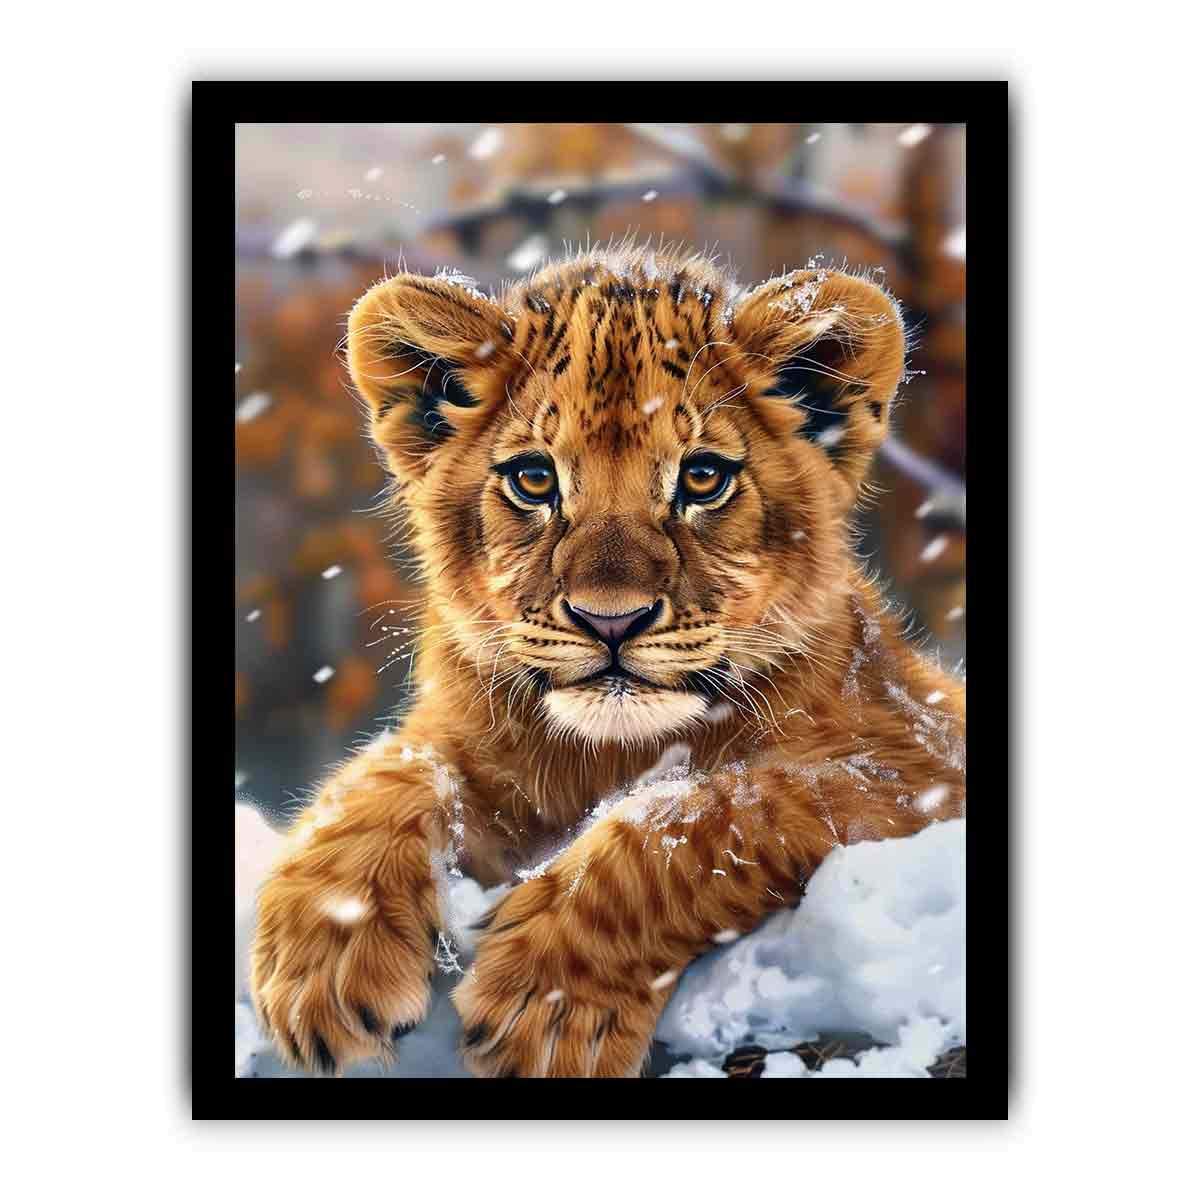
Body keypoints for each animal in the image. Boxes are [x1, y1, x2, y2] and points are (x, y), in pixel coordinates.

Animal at [248, 243, 966, 1078]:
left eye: (702, 477)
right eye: (534, 479)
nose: (610, 619)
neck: (606, 756)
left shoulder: (918, 767)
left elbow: (715, 808)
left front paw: (548, 1001)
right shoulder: (462, 736)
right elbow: (387, 772)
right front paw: (323, 959)